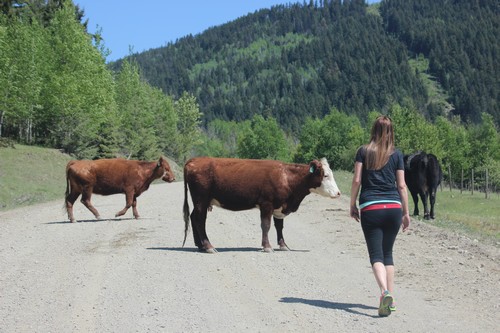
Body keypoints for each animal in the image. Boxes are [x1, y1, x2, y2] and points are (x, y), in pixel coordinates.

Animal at [182, 157, 342, 253]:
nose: (338, 193)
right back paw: (208, 246)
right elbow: (266, 225)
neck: (286, 177)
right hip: (201, 200)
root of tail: (195, 159)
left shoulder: (279, 207)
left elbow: (279, 227)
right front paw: (267, 247)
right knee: (199, 220)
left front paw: (283, 245)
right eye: (325, 175)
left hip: (199, 202)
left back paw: (200, 245)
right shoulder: (266, 204)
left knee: (193, 217)